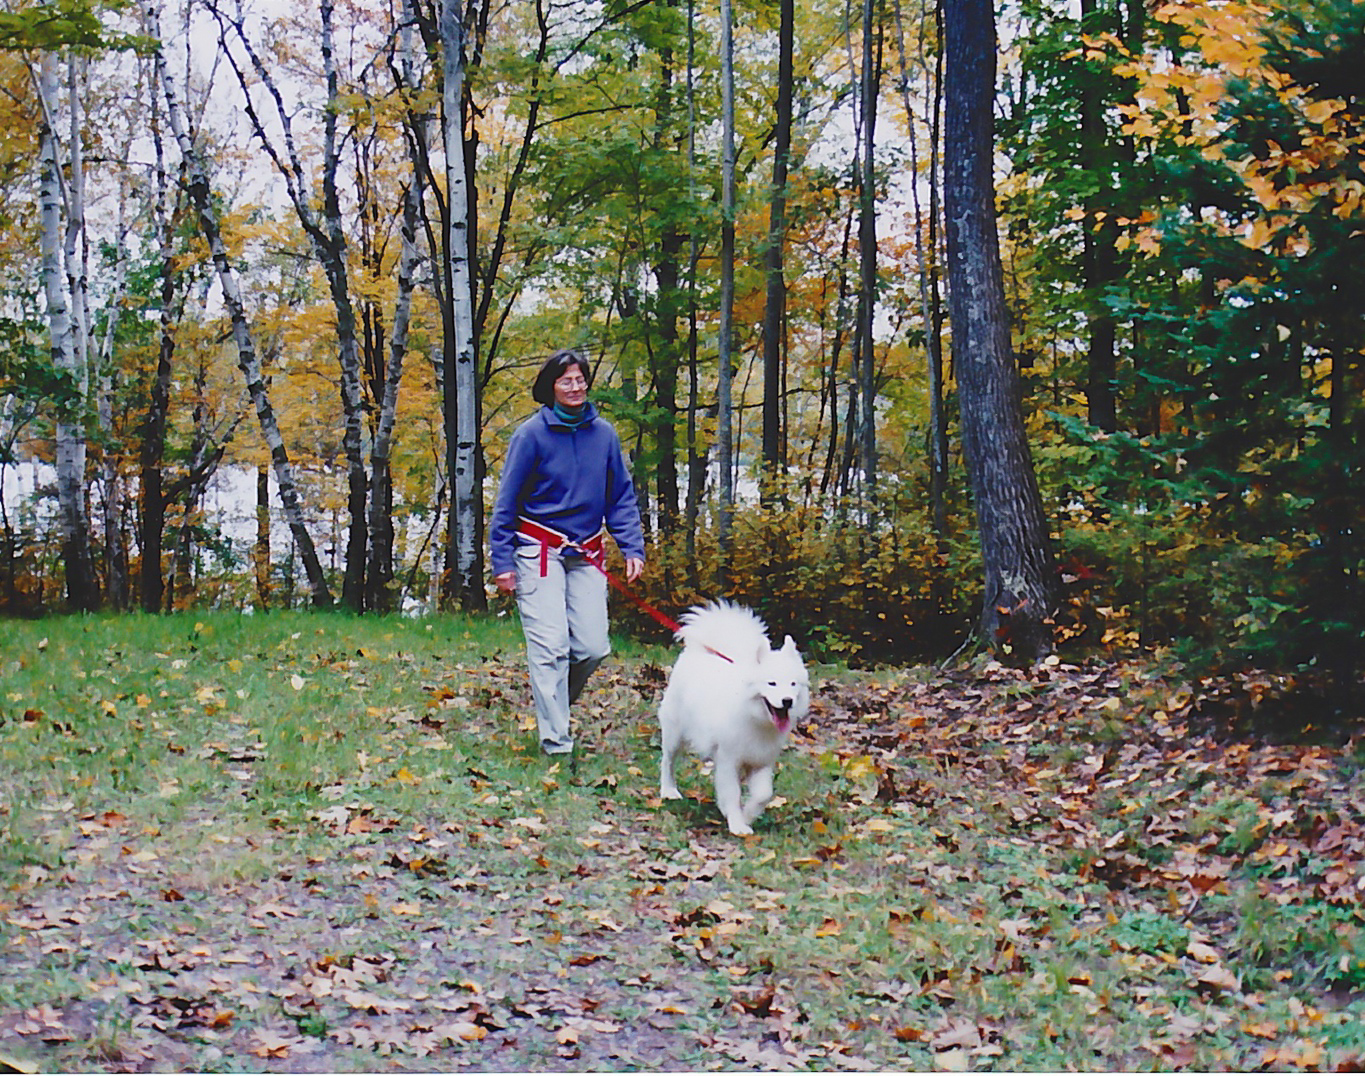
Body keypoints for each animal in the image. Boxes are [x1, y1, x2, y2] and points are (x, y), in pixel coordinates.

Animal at [655, 600, 802, 835]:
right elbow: (732, 794)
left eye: (793, 683)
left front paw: (748, 815)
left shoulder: (761, 761)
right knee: (667, 761)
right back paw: (668, 790)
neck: (754, 718)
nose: (787, 701)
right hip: (675, 734)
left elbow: (763, 794)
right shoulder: (728, 760)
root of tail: (698, 651)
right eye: (771, 683)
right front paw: (737, 823)